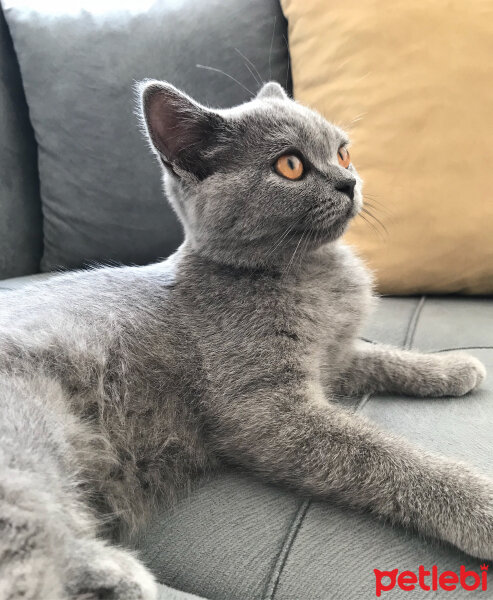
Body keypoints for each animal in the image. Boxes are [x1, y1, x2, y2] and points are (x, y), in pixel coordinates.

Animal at [0, 81, 490, 600]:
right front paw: (479, 506)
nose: (349, 181)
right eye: (290, 165)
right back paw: (119, 578)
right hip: (28, 422)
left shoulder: (332, 354)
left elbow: (380, 356)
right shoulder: (266, 409)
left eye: (343, 152)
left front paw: (453, 369)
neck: (310, 271)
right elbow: (380, 453)